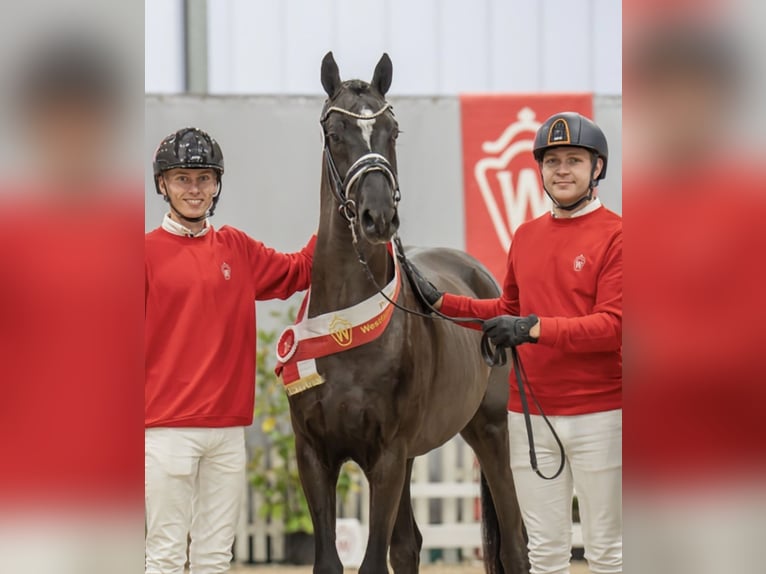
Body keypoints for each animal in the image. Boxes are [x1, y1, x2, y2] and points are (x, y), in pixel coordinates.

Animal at [284, 51, 532, 572]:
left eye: (391, 131)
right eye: (334, 132)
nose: (378, 217)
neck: (345, 329)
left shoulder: (387, 457)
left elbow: (373, 562)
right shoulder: (314, 455)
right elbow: (333, 561)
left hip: (488, 430)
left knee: (515, 542)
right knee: (409, 545)